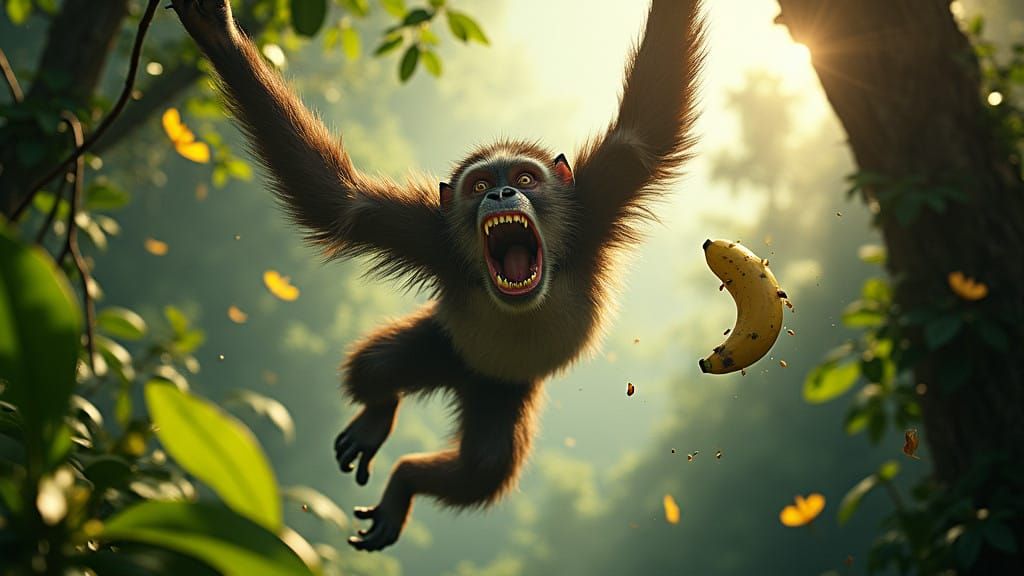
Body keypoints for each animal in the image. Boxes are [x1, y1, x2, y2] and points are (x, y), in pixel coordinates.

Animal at [170, 0, 704, 551]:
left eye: (526, 178)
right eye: (481, 185)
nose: (502, 194)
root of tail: (464, 380)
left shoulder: (599, 198)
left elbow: (647, 130)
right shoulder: (432, 237)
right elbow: (342, 205)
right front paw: (219, 37)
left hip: (501, 388)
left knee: (483, 467)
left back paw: (404, 480)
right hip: (447, 348)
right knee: (377, 367)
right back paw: (380, 425)